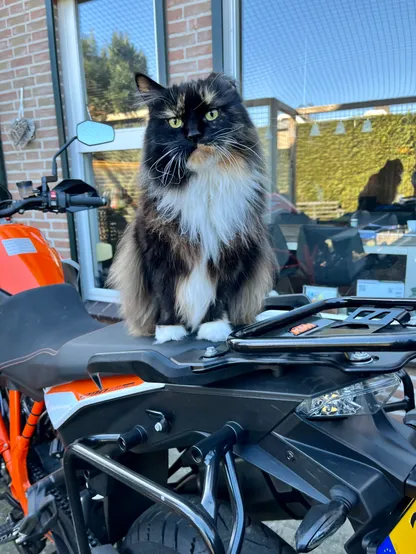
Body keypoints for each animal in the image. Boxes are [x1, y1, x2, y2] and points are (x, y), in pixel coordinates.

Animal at [109, 71, 276, 342]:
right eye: (175, 122)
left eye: (212, 114)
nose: (194, 135)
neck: (203, 184)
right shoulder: (156, 252)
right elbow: (165, 294)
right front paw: (169, 330)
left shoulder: (232, 253)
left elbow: (219, 295)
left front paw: (213, 327)